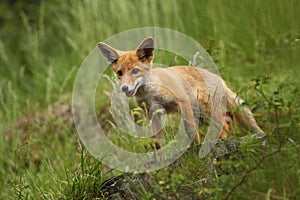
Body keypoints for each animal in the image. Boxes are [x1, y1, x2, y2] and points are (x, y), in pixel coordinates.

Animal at [97, 36, 264, 148]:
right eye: (120, 73)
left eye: (135, 71)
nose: (124, 88)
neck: (151, 93)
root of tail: (218, 77)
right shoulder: (152, 114)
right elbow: (157, 140)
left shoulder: (182, 102)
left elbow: (190, 130)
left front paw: (195, 148)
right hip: (203, 115)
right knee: (228, 121)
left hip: (206, 110)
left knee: (223, 124)